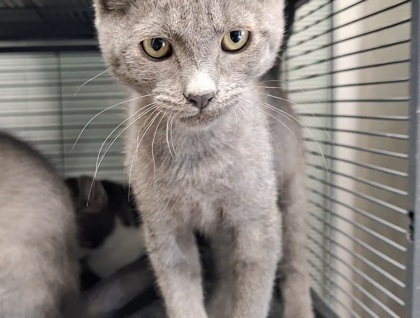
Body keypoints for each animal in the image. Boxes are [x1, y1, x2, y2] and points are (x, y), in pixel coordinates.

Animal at [93, 1, 314, 316]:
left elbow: (254, 295)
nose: (201, 96)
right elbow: (181, 295)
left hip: (291, 187)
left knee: (296, 258)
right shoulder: (164, 229)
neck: (200, 160)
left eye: (236, 38)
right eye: (156, 46)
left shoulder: (259, 222)